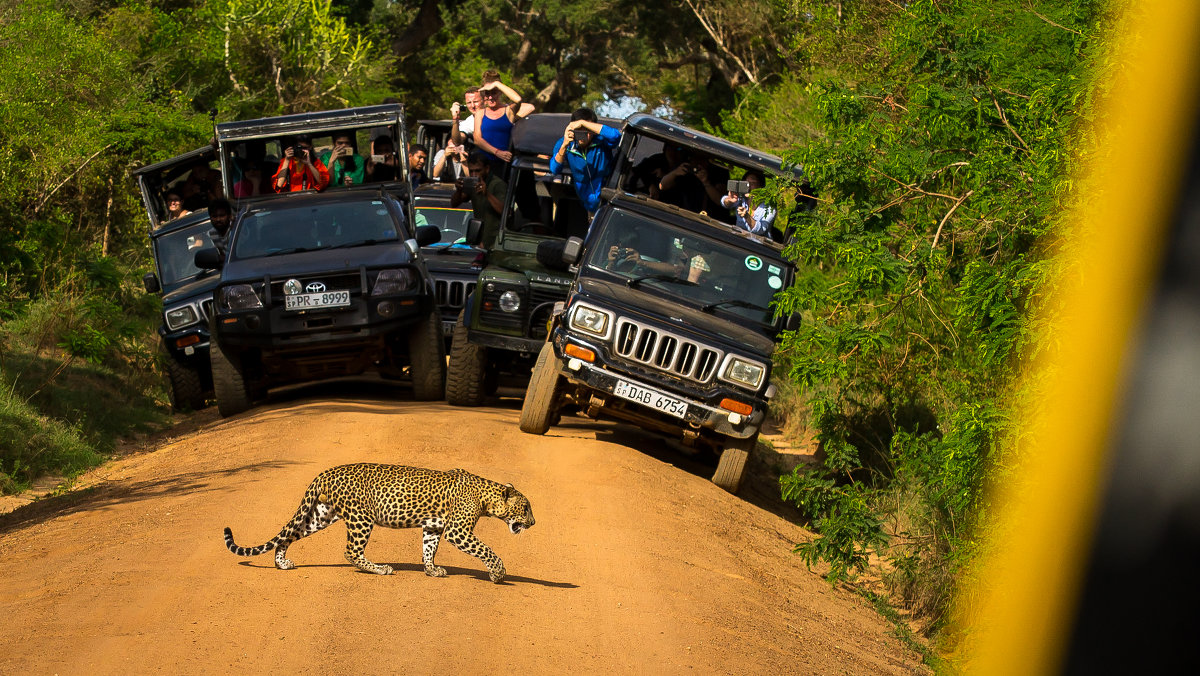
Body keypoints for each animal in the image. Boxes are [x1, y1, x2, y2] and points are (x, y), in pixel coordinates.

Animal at [225, 463, 535, 583]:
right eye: (526, 507)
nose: (533, 522)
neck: (486, 497)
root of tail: (327, 471)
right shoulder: (457, 531)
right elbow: (486, 550)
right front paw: (498, 573)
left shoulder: (433, 526)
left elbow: (428, 549)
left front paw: (431, 570)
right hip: (361, 518)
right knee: (351, 551)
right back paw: (380, 569)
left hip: (321, 514)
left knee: (290, 534)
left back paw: (282, 563)